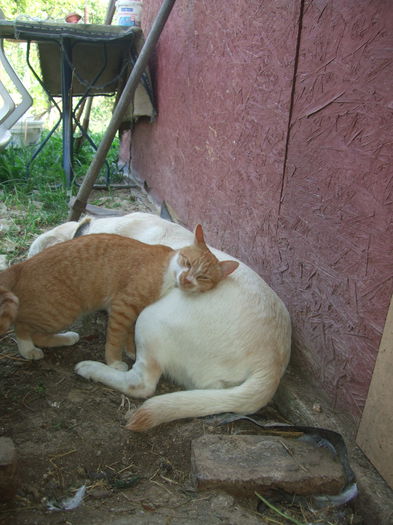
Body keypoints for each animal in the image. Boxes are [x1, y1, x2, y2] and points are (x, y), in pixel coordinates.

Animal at [0, 226, 236, 368]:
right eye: (187, 262)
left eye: (203, 277)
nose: (187, 280)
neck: (167, 273)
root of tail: (21, 265)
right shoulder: (123, 305)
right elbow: (114, 338)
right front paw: (114, 362)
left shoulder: (133, 311)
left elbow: (128, 333)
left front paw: (130, 350)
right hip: (62, 310)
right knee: (22, 325)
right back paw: (28, 349)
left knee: (38, 332)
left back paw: (65, 338)